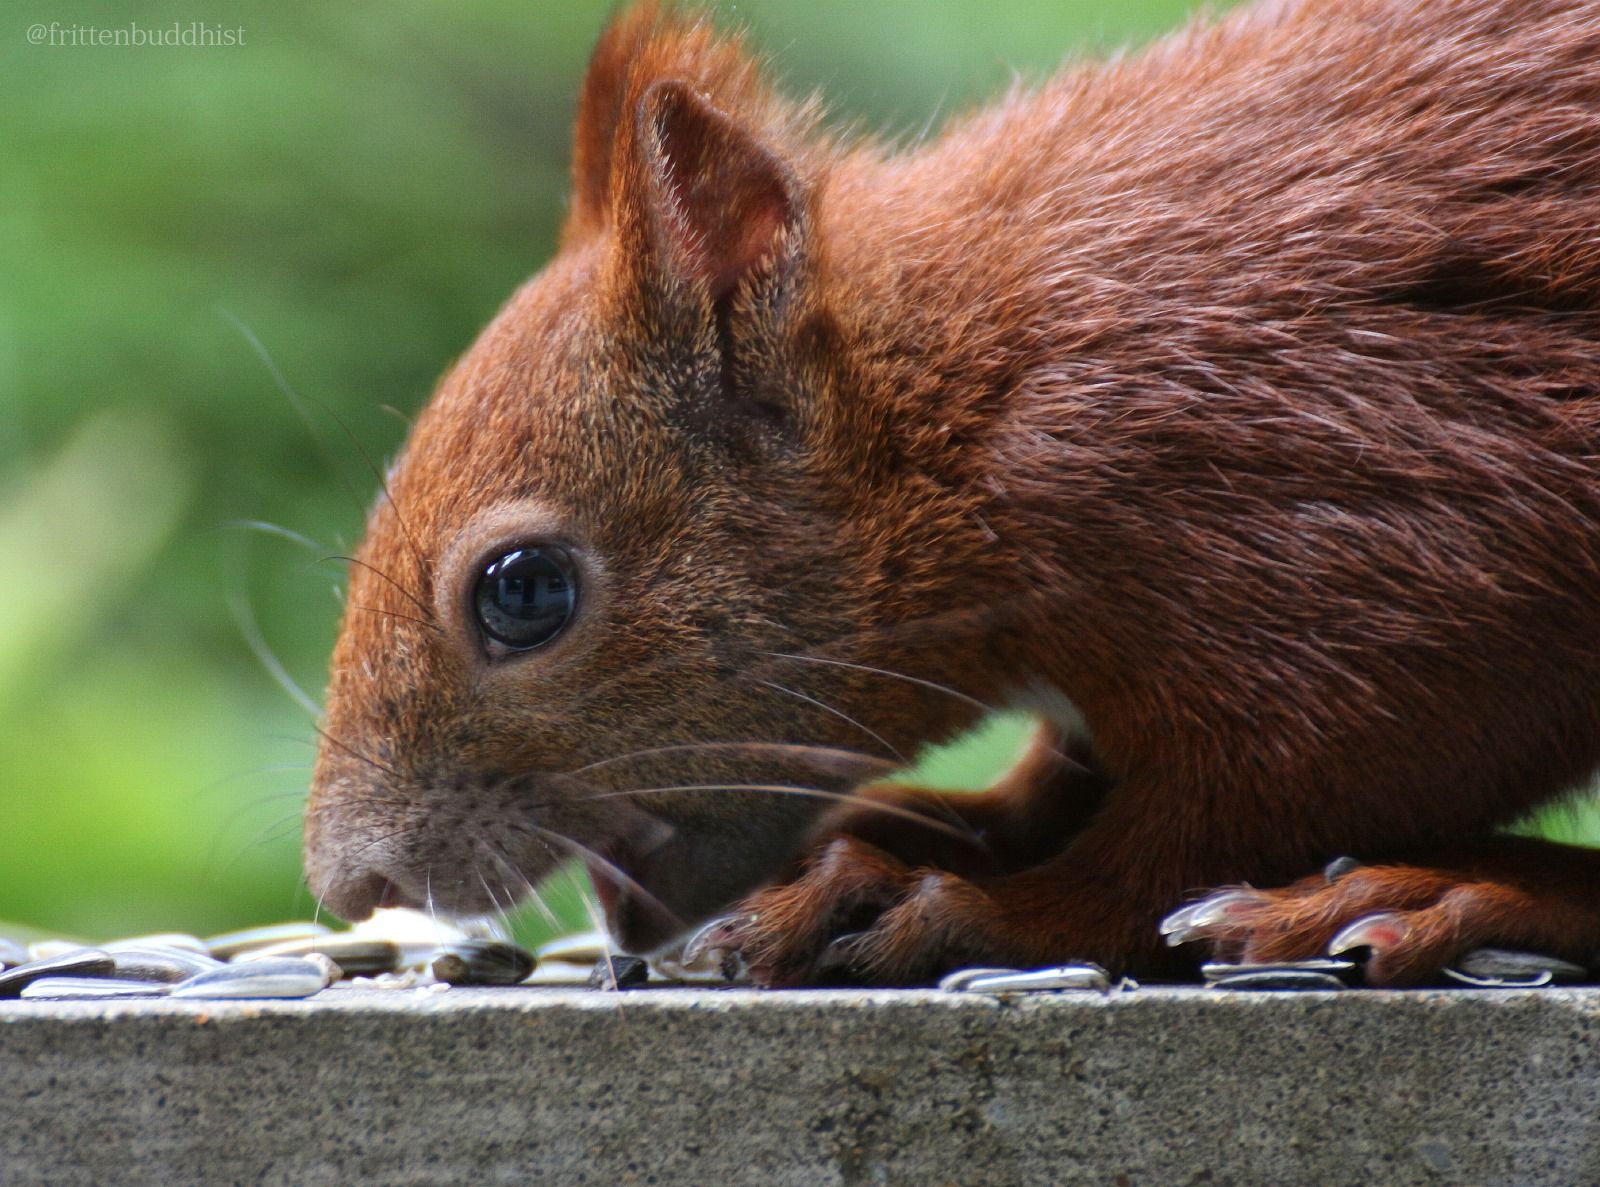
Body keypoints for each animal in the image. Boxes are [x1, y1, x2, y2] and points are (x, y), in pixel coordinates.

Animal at [300, 0, 1600, 985]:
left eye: (522, 592)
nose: (350, 880)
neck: (967, 416)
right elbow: (1065, 783)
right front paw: (894, 839)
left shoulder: (1377, 537)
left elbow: (1201, 829)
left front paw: (963, 903)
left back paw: (1453, 892)